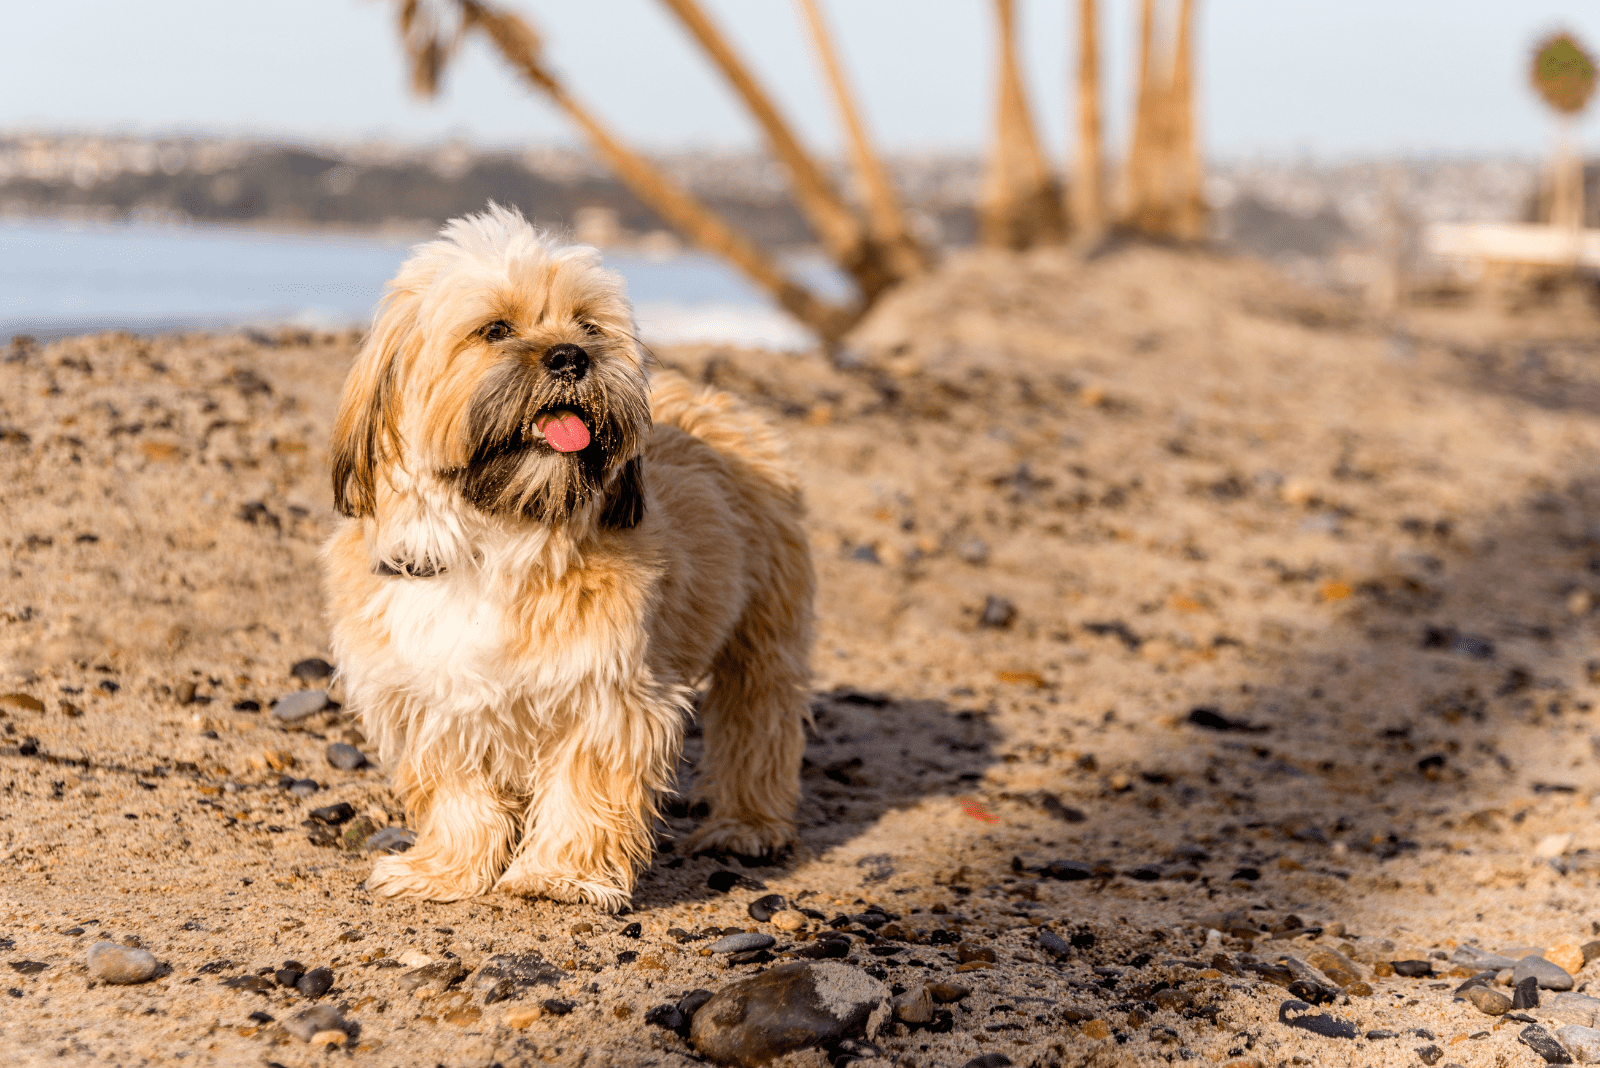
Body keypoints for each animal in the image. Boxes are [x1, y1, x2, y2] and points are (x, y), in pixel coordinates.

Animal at [320, 206, 812, 908]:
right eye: (495, 330)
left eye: (588, 325)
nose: (571, 355)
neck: (492, 539)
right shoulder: (430, 698)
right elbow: (457, 792)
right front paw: (445, 869)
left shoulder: (606, 693)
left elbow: (585, 785)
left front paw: (558, 874)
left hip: (764, 628)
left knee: (759, 714)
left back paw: (747, 822)